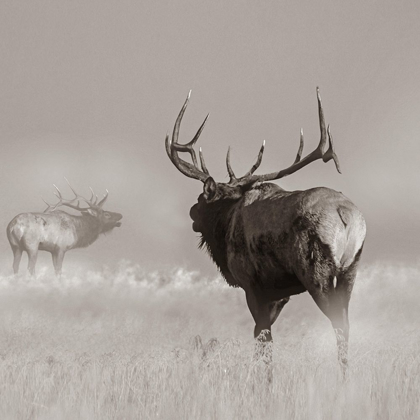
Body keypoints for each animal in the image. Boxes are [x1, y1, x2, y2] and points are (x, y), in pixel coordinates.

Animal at [166, 89, 366, 368]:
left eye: (202, 199)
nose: (192, 212)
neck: (225, 225)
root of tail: (345, 214)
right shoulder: (280, 294)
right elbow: (263, 338)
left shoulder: (252, 284)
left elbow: (263, 339)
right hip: (351, 271)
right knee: (346, 325)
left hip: (317, 272)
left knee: (338, 323)